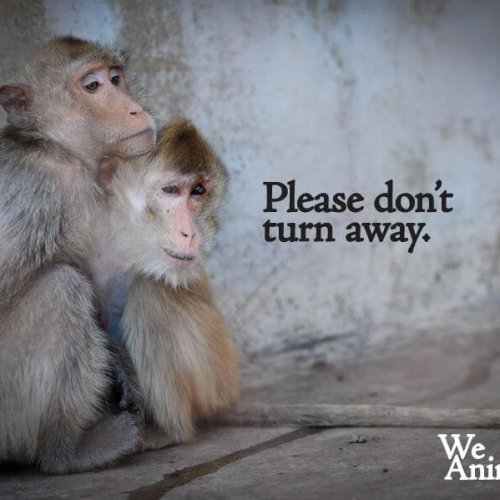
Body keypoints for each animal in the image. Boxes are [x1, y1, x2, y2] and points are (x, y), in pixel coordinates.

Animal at [0, 36, 156, 474]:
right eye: (92, 86)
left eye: (116, 78)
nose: (135, 107)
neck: (55, 147)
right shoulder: (37, 192)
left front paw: (120, 366)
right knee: (62, 289)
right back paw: (64, 454)